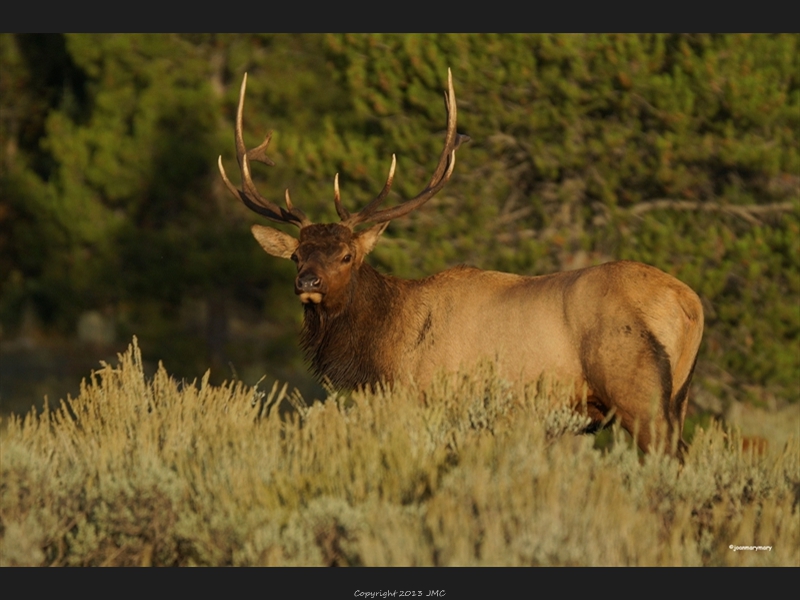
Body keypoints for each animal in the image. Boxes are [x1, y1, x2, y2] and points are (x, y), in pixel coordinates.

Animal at [220, 70, 708, 458]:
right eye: (296, 254)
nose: (308, 282)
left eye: (346, 255)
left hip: (637, 389)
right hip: (679, 398)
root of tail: (690, 304)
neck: (384, 346)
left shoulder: (434, 403)